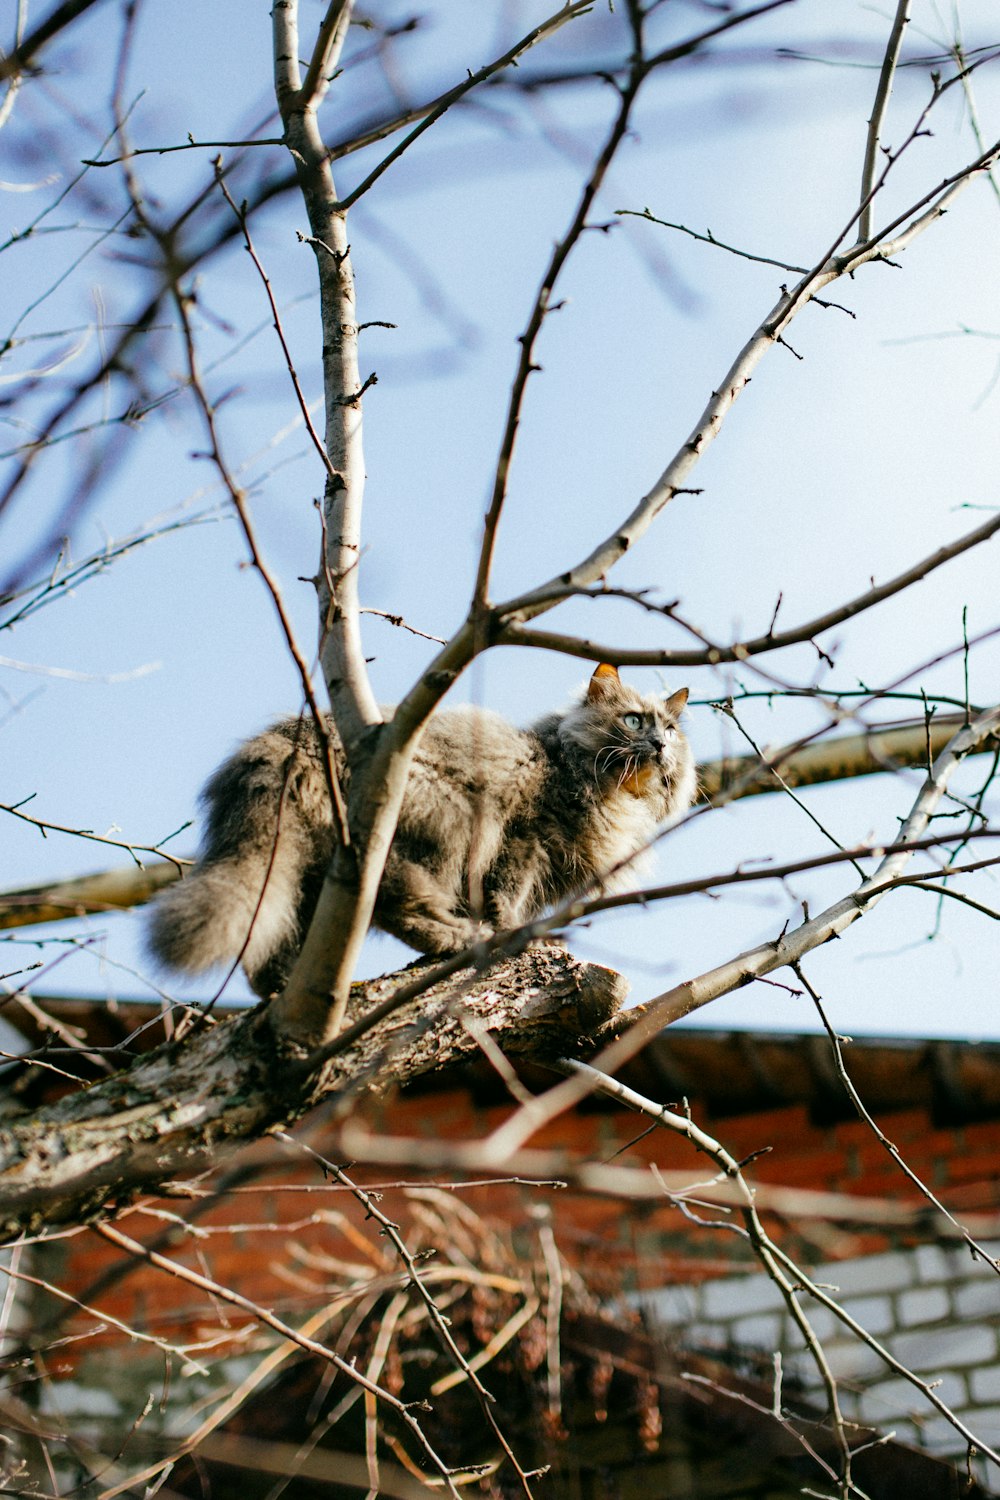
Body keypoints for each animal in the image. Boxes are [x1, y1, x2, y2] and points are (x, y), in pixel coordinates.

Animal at [148, 666, 695, 996]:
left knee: (267, 953)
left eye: (670, 730)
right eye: (633, 721)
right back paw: (457, 938)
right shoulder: (525, 838)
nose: (660, 745)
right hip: (443, 826)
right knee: (398, 905)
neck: (613, 795)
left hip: (300, 876)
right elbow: (506, 899)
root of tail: (283, 744)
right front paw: (516, 937)